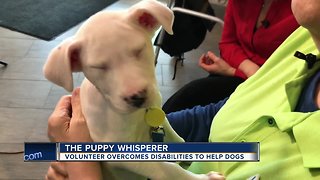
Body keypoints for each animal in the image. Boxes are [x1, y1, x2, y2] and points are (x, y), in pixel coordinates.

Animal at [43, 0, 222, 179]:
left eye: (138, 50)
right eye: (99, 67)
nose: (137, 97)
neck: (134, 116)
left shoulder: (160, 118)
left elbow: (178, 139)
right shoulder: (121, 153)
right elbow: (168, 169)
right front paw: (204, 177)